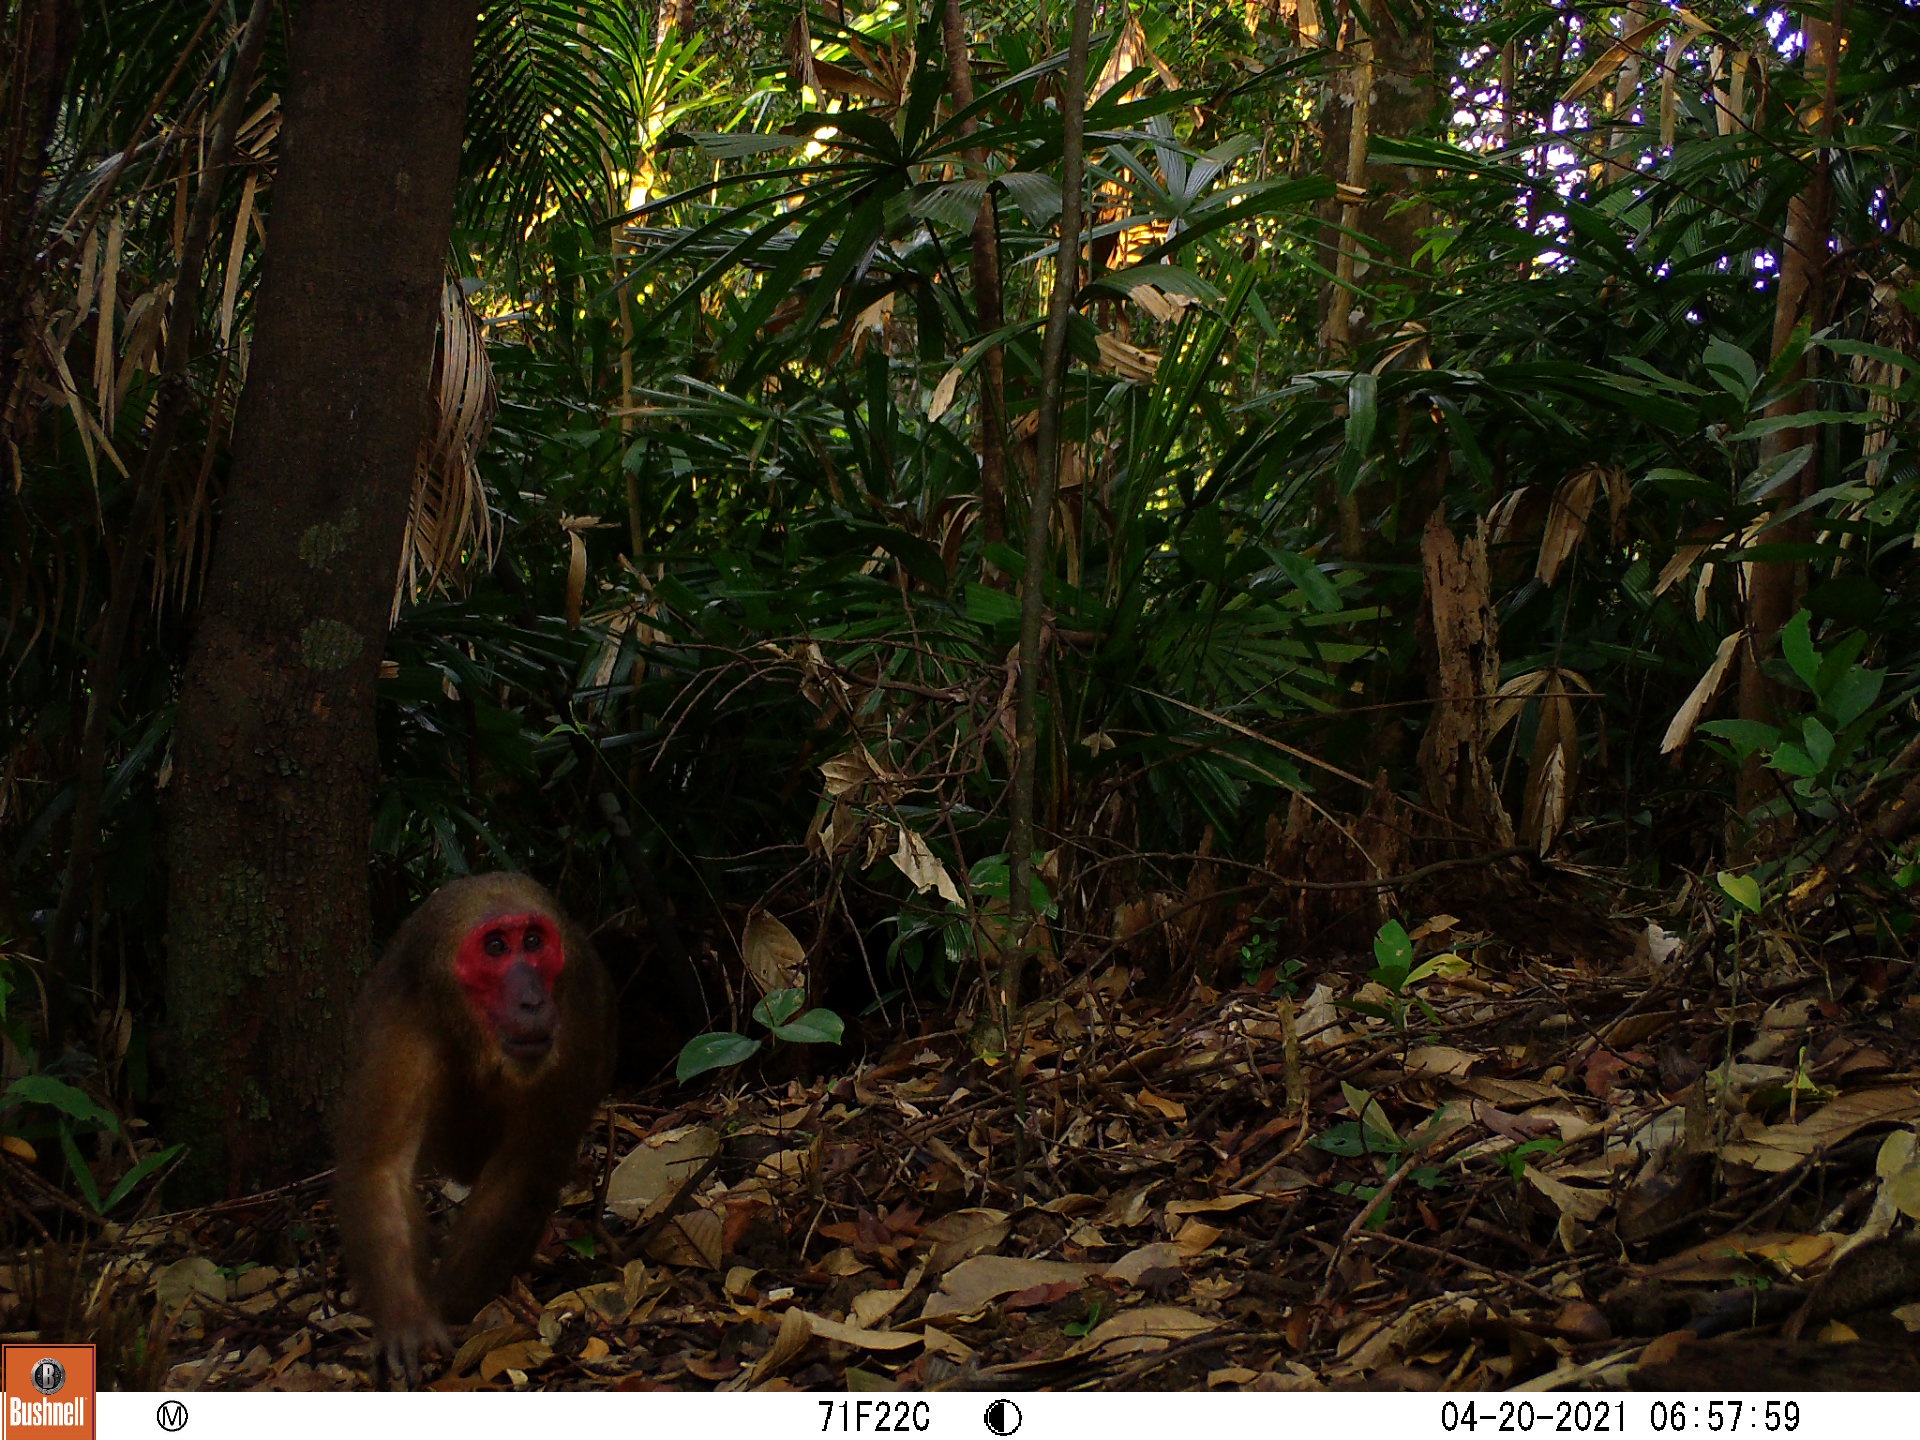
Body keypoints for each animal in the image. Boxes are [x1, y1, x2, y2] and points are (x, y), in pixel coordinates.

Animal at [334, 872, 616, 1384]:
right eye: (496, 947)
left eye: (532, 942)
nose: (531, 1000)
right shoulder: (401, 1019)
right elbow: (381, 1165)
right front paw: (408, 1320)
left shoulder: (578, 1018)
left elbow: (523, 1169)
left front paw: (449, 1308)